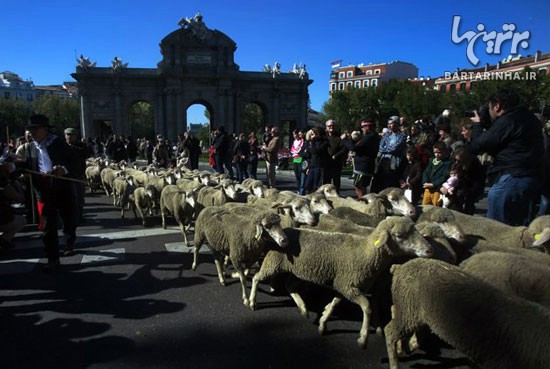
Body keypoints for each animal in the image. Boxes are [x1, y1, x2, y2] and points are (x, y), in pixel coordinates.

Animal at [248, 216, 434, 348]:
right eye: (399, 235)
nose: (429, 250)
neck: (366, 253)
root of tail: (281, 233)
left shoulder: (344, 284)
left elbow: (335, 303)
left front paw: (323, 321)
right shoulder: (348, 285)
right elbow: (367, 306)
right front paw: (363, 339)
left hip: (295, 271)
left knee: (289, 286)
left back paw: (303, 309)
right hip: (273, 262)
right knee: (257, 278)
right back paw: (251, 302)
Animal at [386, 258, 550, 368]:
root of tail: (400, 266)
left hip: (410, 311)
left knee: (396, 316)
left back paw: (405, 348)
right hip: (409, 310)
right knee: (389, 330)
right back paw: (395, 364)